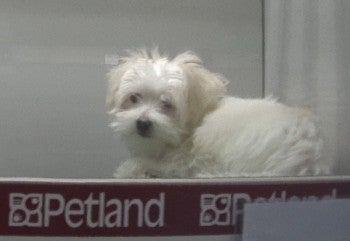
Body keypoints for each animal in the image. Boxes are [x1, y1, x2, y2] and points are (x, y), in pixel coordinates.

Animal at [105, 49, 330, 177]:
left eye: (167, 103)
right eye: (134, 98)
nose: (142, 122)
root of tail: (310, 154)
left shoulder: (187, 159)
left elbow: (170, 166)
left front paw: (134, 168)